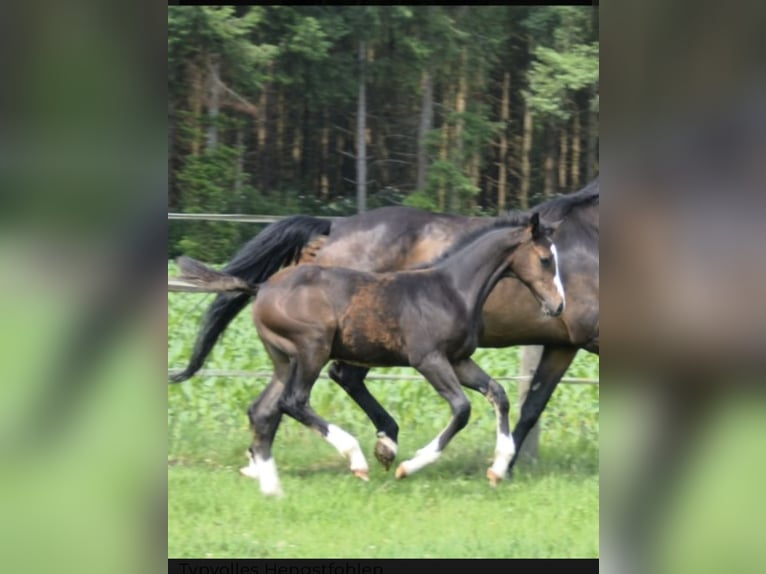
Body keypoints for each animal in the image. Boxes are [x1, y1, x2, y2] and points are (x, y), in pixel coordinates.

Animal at [170, 178, 598, 475]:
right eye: (545, 260)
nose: (557, 305)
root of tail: (332, 229)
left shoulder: (558, 345)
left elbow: (525, 404)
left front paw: (502, 467)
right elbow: (471, 408)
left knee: (274, 403)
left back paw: (264, 463)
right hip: (329, 346)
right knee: (318, 388)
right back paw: (372, 449)